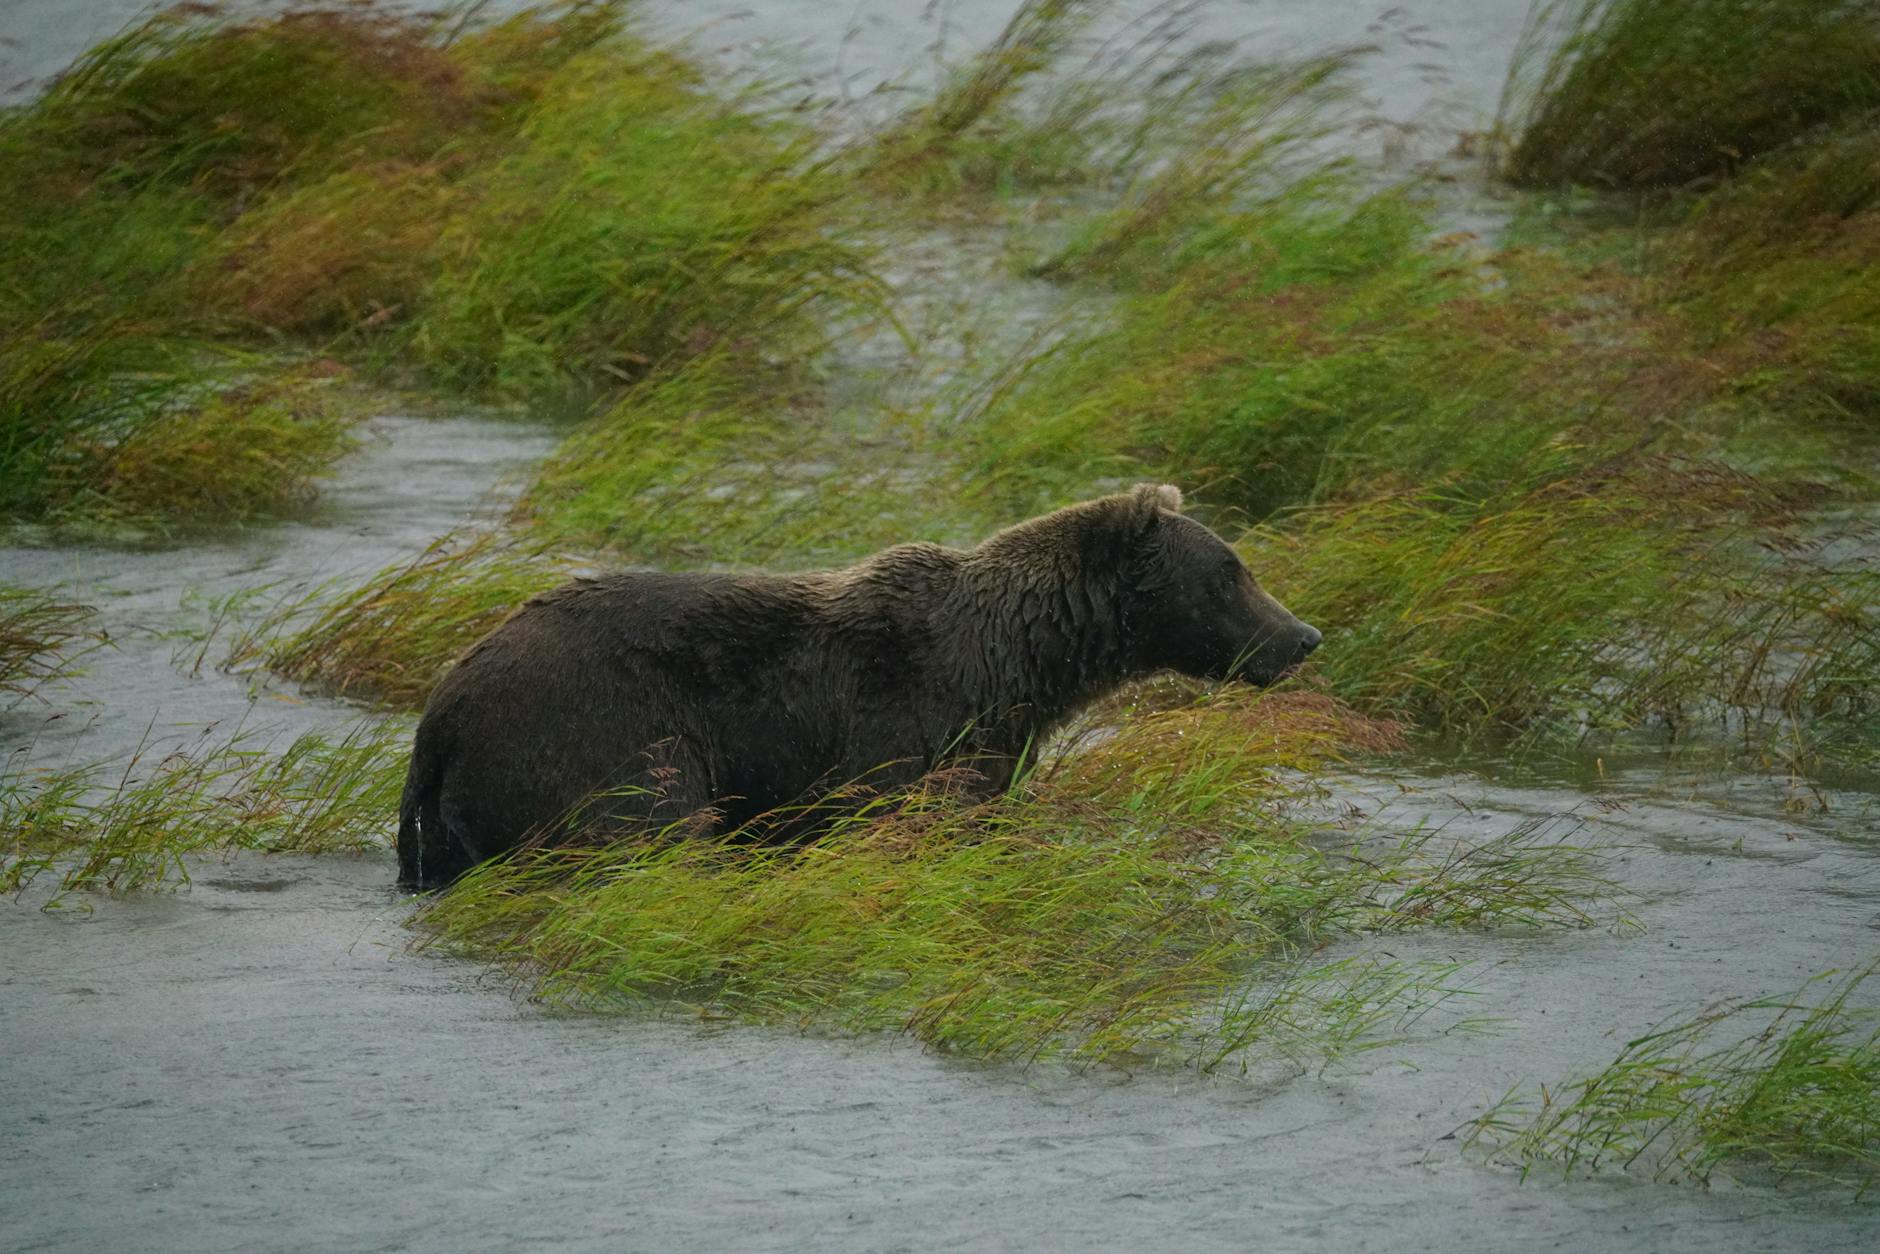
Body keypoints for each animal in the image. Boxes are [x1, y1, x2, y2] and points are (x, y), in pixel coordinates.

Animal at [396, 484, 1320, 888]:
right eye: (1232, 572)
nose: (1304, 637)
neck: (1018, 663)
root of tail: (441, 710)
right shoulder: (903, 719)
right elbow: (893, 808)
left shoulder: (988, 743)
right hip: (600, 728)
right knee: (645, 828)